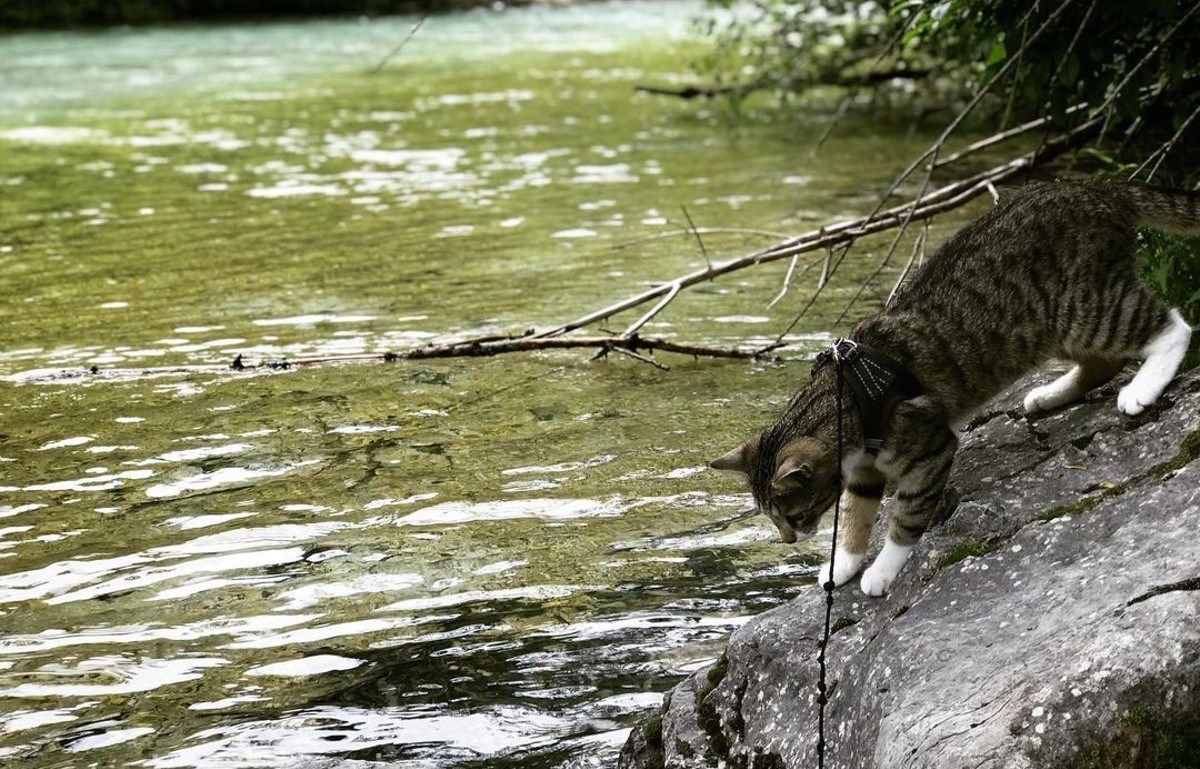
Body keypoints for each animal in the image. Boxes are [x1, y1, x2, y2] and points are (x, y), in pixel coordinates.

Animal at [710, 179, 1190, 595]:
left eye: (792, 514)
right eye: (773, 518)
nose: (788, 540)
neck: (848, 394)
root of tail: (1098, 187)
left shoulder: (929, 447)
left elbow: (906, 514)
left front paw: (882, 571)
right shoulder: (863, 471)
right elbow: (855, 513)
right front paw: (843, 562)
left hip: (1083, 306)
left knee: (1172, 326)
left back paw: (1143, 388)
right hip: (1051, 331)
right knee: (1104, 362)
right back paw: (1050, 395)